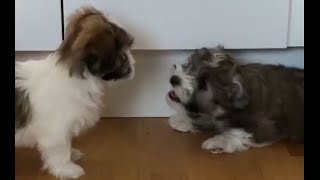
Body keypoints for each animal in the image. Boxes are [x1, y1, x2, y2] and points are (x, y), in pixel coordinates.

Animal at [15, 6, 135, 179]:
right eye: (122, 55)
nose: (133, 63)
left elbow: (67, 143)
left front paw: (72, 154)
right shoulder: (56, 131)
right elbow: (61, 151)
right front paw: (67, 168)